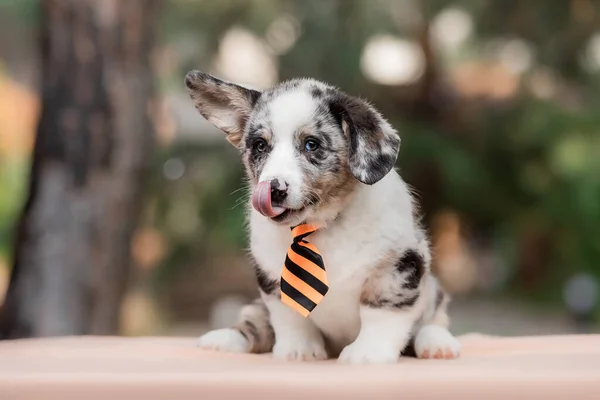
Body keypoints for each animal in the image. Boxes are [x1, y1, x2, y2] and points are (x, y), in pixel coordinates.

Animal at [183, 70, 460, 364]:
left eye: (311, 144)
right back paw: (224, 339)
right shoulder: (272, 282)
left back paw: (438, 344)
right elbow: (290, 317)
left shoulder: (398, 268)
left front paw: (367, 353)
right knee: (256, 320)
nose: (274, 190)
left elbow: (381, 314)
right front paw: (299, 349)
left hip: (432, 293)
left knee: (431, 322)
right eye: (260, 146)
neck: (319, 224)